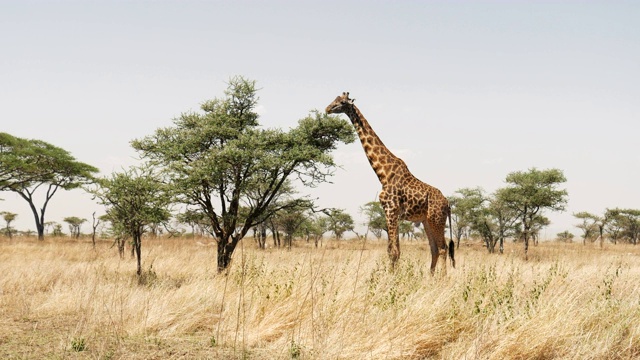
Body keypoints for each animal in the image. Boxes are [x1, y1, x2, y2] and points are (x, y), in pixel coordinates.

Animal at [324, 92, 456, 272]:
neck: (383, 174)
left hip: (437, 219)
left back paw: (442, 278)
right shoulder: (392, 213)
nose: (327, 108)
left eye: (342, 102)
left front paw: (391, 277)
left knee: (443, 248)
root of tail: (448, 203)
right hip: (427, 221)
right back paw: (430, 276)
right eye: (335, 99)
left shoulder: (391, 210)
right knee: (434, 248)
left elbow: (393, 252)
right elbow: (393, 250)